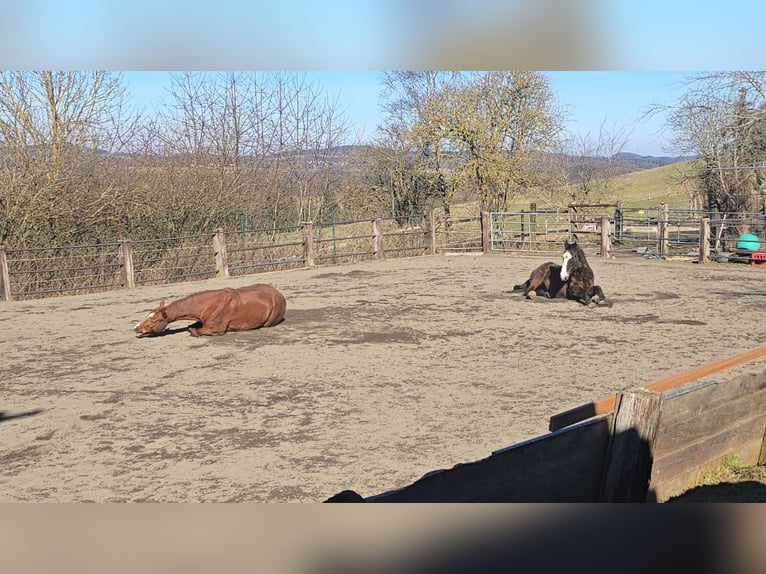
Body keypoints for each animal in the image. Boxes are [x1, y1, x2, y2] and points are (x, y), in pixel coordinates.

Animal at [134, 283, 286, 337]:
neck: (210, 305)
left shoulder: (215, 329)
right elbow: (191, 326)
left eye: (154, 320)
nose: (136, 328)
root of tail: (278, 294)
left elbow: (194, 331)